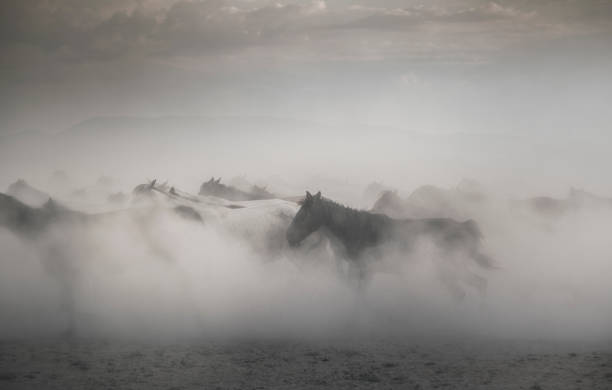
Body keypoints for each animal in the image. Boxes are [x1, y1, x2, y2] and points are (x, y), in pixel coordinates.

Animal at [286, 190, 492, 294]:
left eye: (304, 214)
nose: (288, 237)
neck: (357, 229)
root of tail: (464, 226)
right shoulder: (357, 269)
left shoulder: (363, 270)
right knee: (479, 284)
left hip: (450, 269)